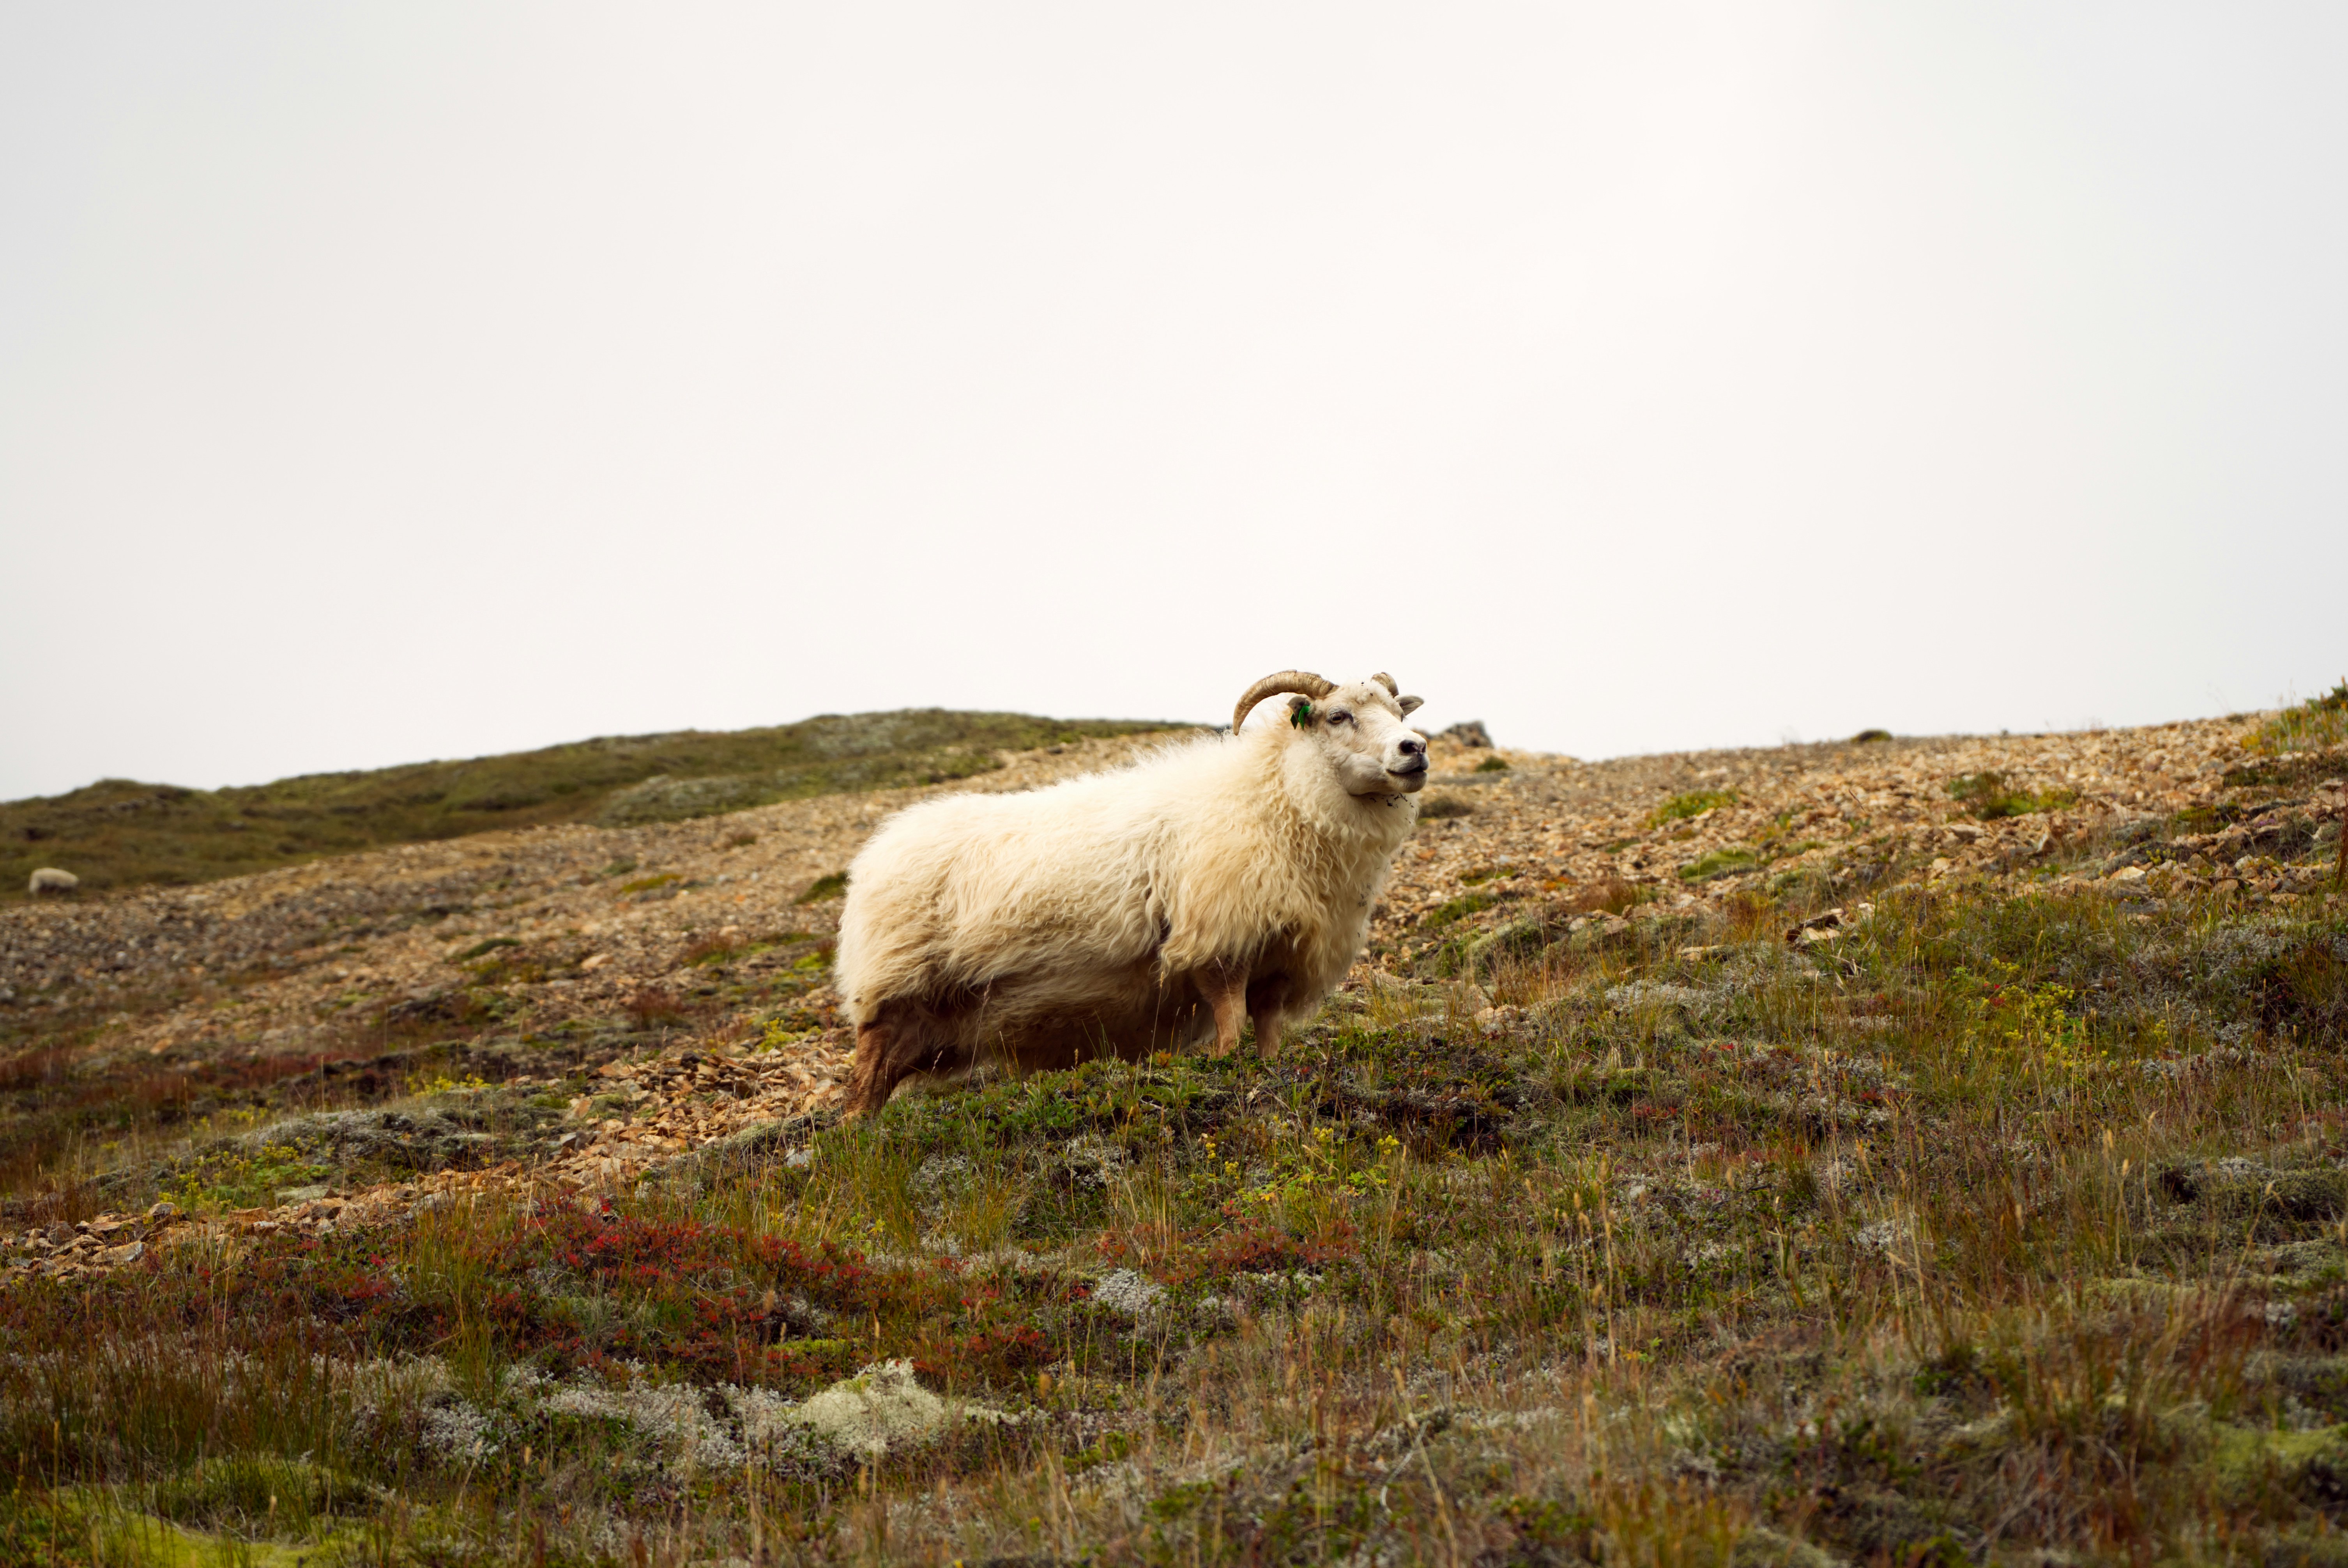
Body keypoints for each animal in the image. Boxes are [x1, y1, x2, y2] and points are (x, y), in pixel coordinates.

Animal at [26, 868, 78, 896]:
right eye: (75, 885)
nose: (75, 891)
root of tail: (34, 873)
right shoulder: (60, 885)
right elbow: (57, 891)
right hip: (37, 883)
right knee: (34, 890)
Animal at [837, 670, 1429, 1114]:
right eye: (1338, 716)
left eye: (1399, 714)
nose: (1415, 748)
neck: (1275, 795)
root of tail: (877, 852)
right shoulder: (1216, 941)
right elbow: (1230, 1031)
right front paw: (1232, 1074)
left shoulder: (1277, 963)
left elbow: (1268, 1041)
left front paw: (1269, 1074)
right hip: (894, 993)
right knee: (863, 1090)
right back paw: (859, 1146)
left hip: (934, 1023)